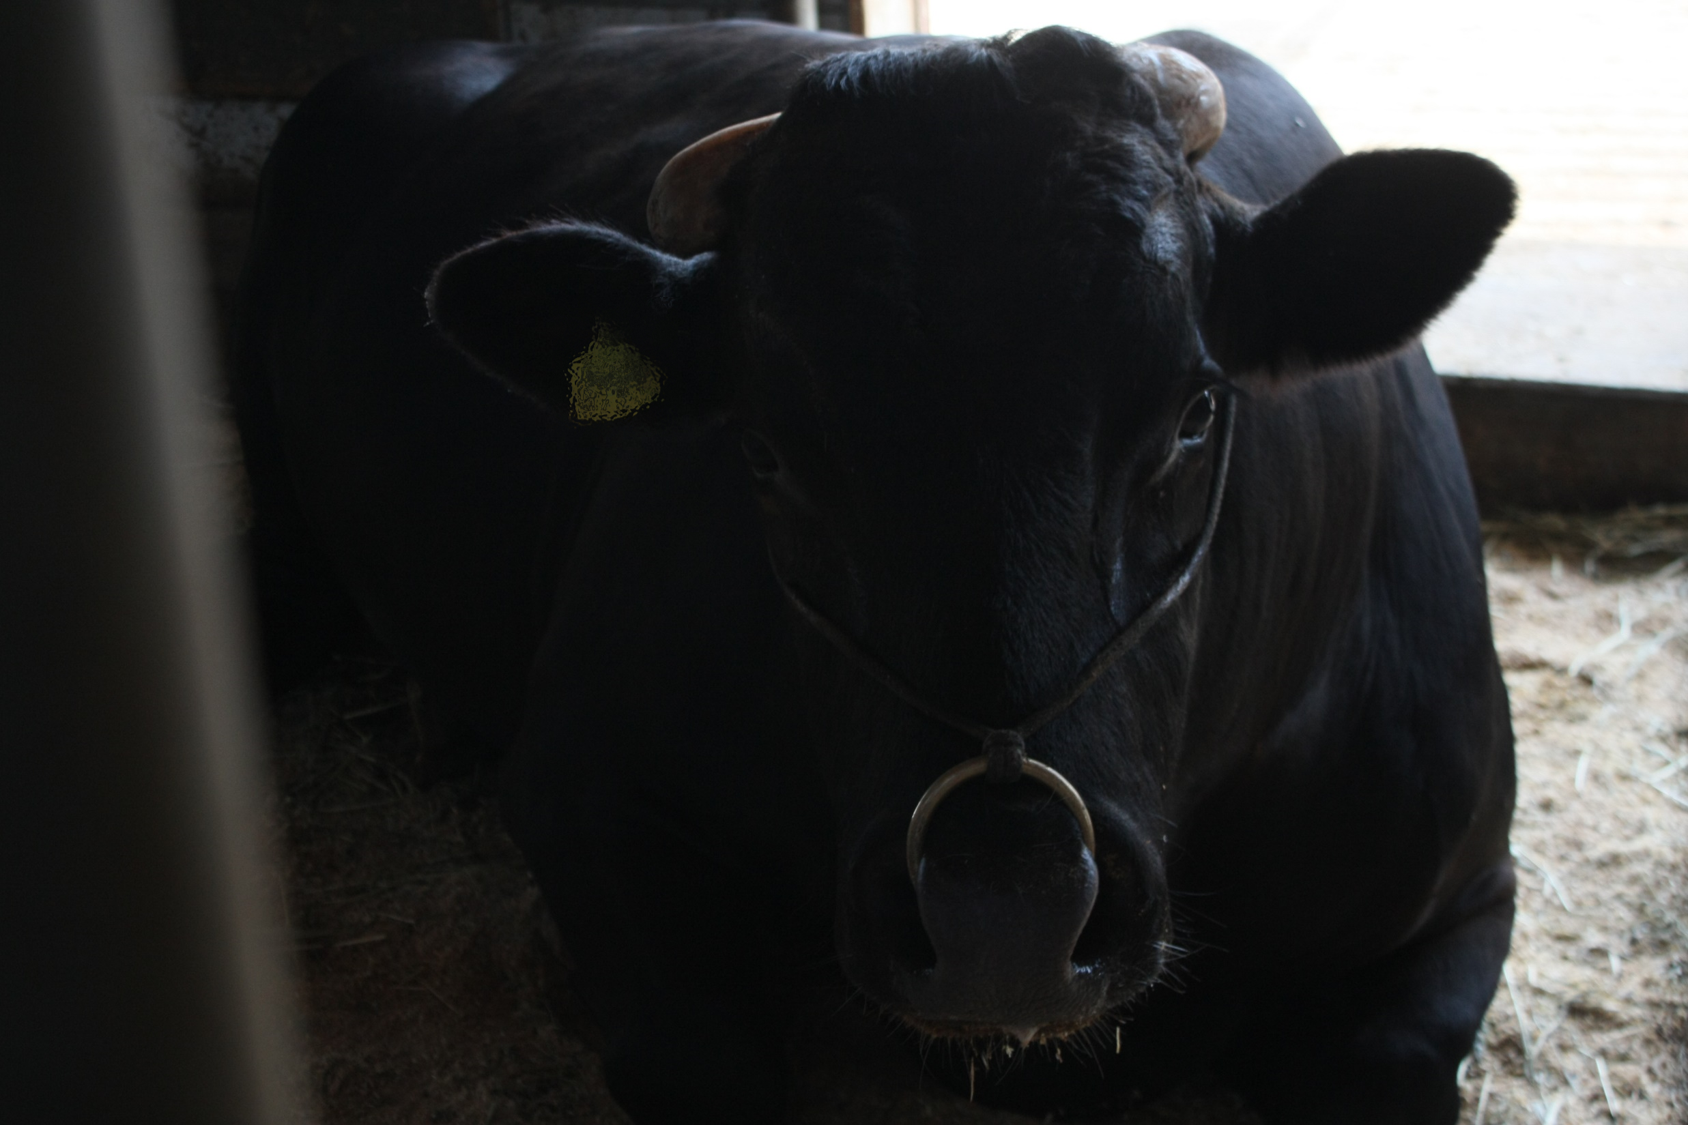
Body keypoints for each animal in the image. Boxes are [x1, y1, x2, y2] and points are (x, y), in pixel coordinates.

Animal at [238, 17, 1519, 1121]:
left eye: (1195, 412)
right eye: (760, 450)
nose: (1004, 917)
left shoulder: (1467, 883)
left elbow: (1390, 1061)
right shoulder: (578, 778)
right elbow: (696, 1061)